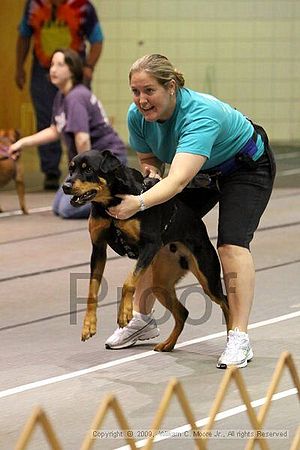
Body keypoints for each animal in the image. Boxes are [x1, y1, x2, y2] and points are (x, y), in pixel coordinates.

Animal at [62, 149, 229, 350]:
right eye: (71, 169)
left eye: (88, 170)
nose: (65, 186)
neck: (110, 203)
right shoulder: (98, 248)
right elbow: (92, 290)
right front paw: (88, 326)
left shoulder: (150, 245)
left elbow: (129, 282)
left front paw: (124, 313)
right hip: (161, 283)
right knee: (183, 312)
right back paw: (168, 344)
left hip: (207, 275)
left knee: (226, 302)